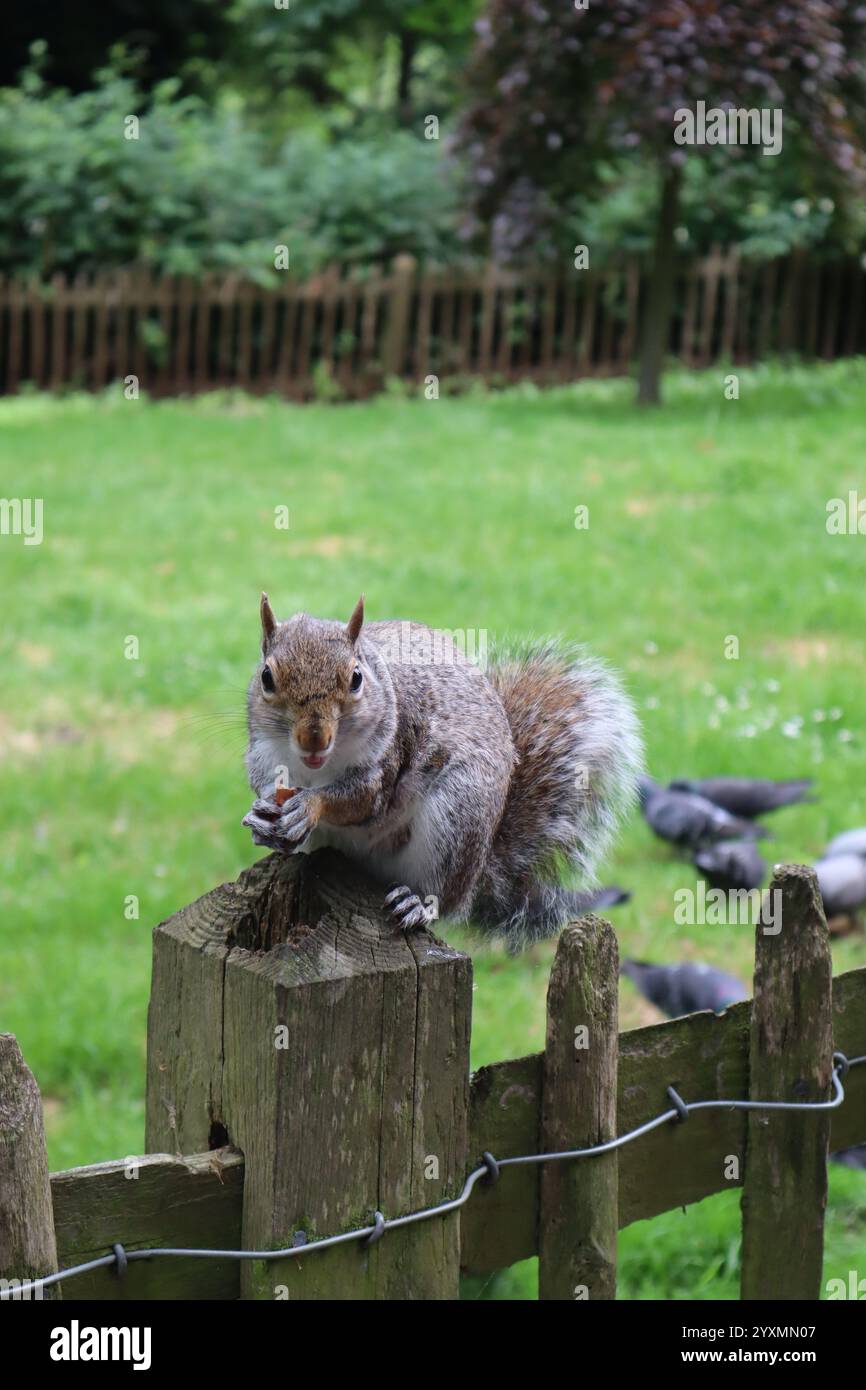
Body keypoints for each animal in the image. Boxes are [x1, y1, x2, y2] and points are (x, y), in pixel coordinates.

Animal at [243, 594, 642, 949]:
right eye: (266, 677)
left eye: (356, 678)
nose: (314, 739)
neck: (313, 769)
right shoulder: (263, 756)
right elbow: (266, 787)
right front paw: (262, 819)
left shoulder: (387, 758)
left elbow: (361, 800)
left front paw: (309, 806)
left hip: (459, 815)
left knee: (444, 897)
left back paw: (419, 903)